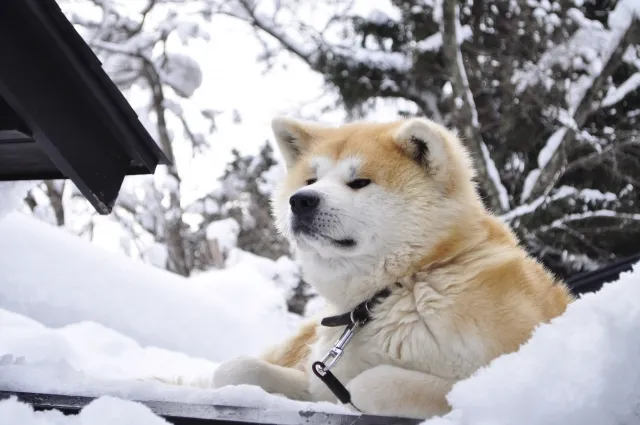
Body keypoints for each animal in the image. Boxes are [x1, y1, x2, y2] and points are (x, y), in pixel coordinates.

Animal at [211, 115, 576, 418]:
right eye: (311, 179)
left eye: (359, 182)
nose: (301, 200)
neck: (402, 285)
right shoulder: (320, 376)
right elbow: (235, 369)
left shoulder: (495, 374)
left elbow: (368, 385)